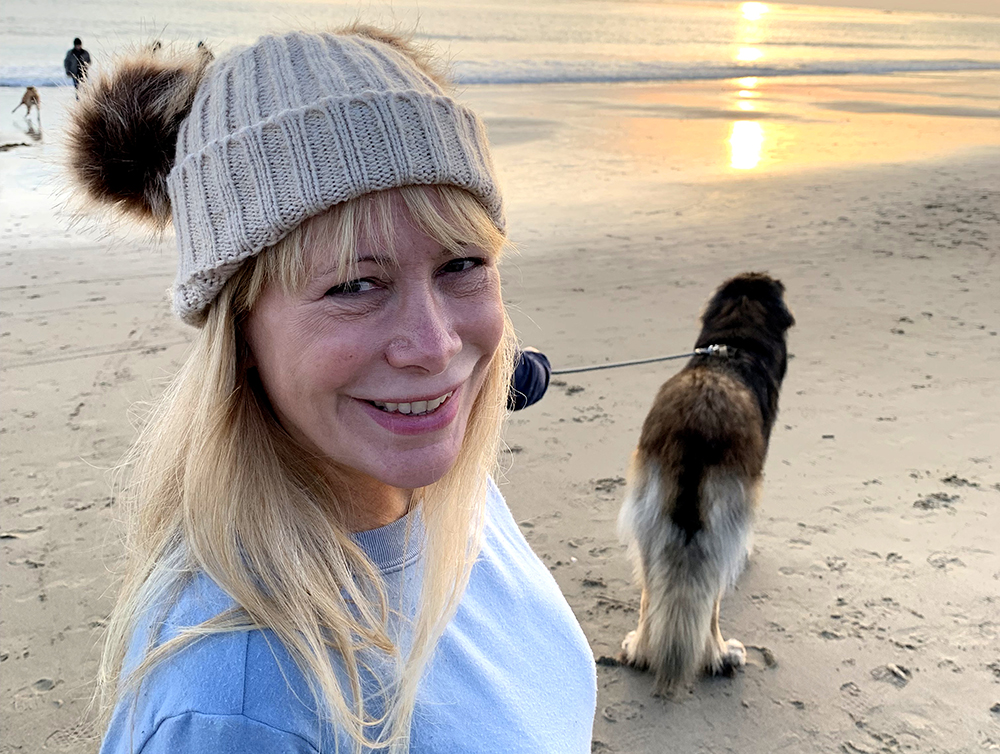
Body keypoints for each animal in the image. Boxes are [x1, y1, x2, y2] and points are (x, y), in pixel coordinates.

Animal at [616, 270, 796, 692]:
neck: (730, 351)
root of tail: (698, 423)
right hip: (720, 525)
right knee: (710, 596)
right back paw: (720, 655)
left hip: (648, 517)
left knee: (651, 590)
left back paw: (640, 651)